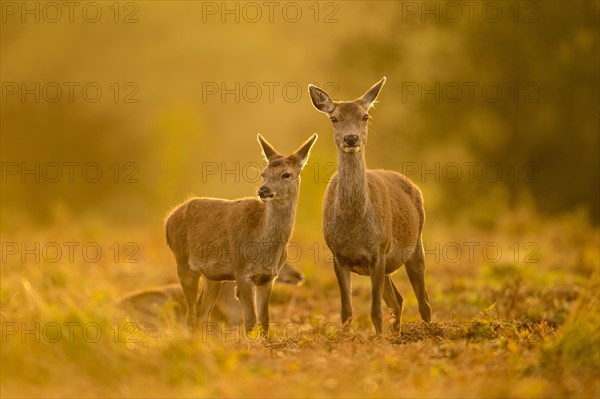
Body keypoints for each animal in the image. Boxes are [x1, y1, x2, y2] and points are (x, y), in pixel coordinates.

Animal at [164, 134, 318, 334]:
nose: (263, 190)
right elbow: (251, 322)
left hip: (212, 277)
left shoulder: (267, 277)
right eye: (263, 174)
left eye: (286, 174)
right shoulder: (241, 272)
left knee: (201, 312)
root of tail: (168, 221)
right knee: (190, 314)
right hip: (183, 262)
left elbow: (264, 321)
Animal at [310, 77, 432, 334]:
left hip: (415, 245)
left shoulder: (379, 251)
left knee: (423, 300)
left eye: (365, 116)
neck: (354, 228)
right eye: (334, 118)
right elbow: (346, 311)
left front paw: (379, 339)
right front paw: (347, 338)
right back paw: (397, 333)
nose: (351, 138)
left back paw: (429, 332)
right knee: (398, 299)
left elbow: (375, 311)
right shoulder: (338, 256)